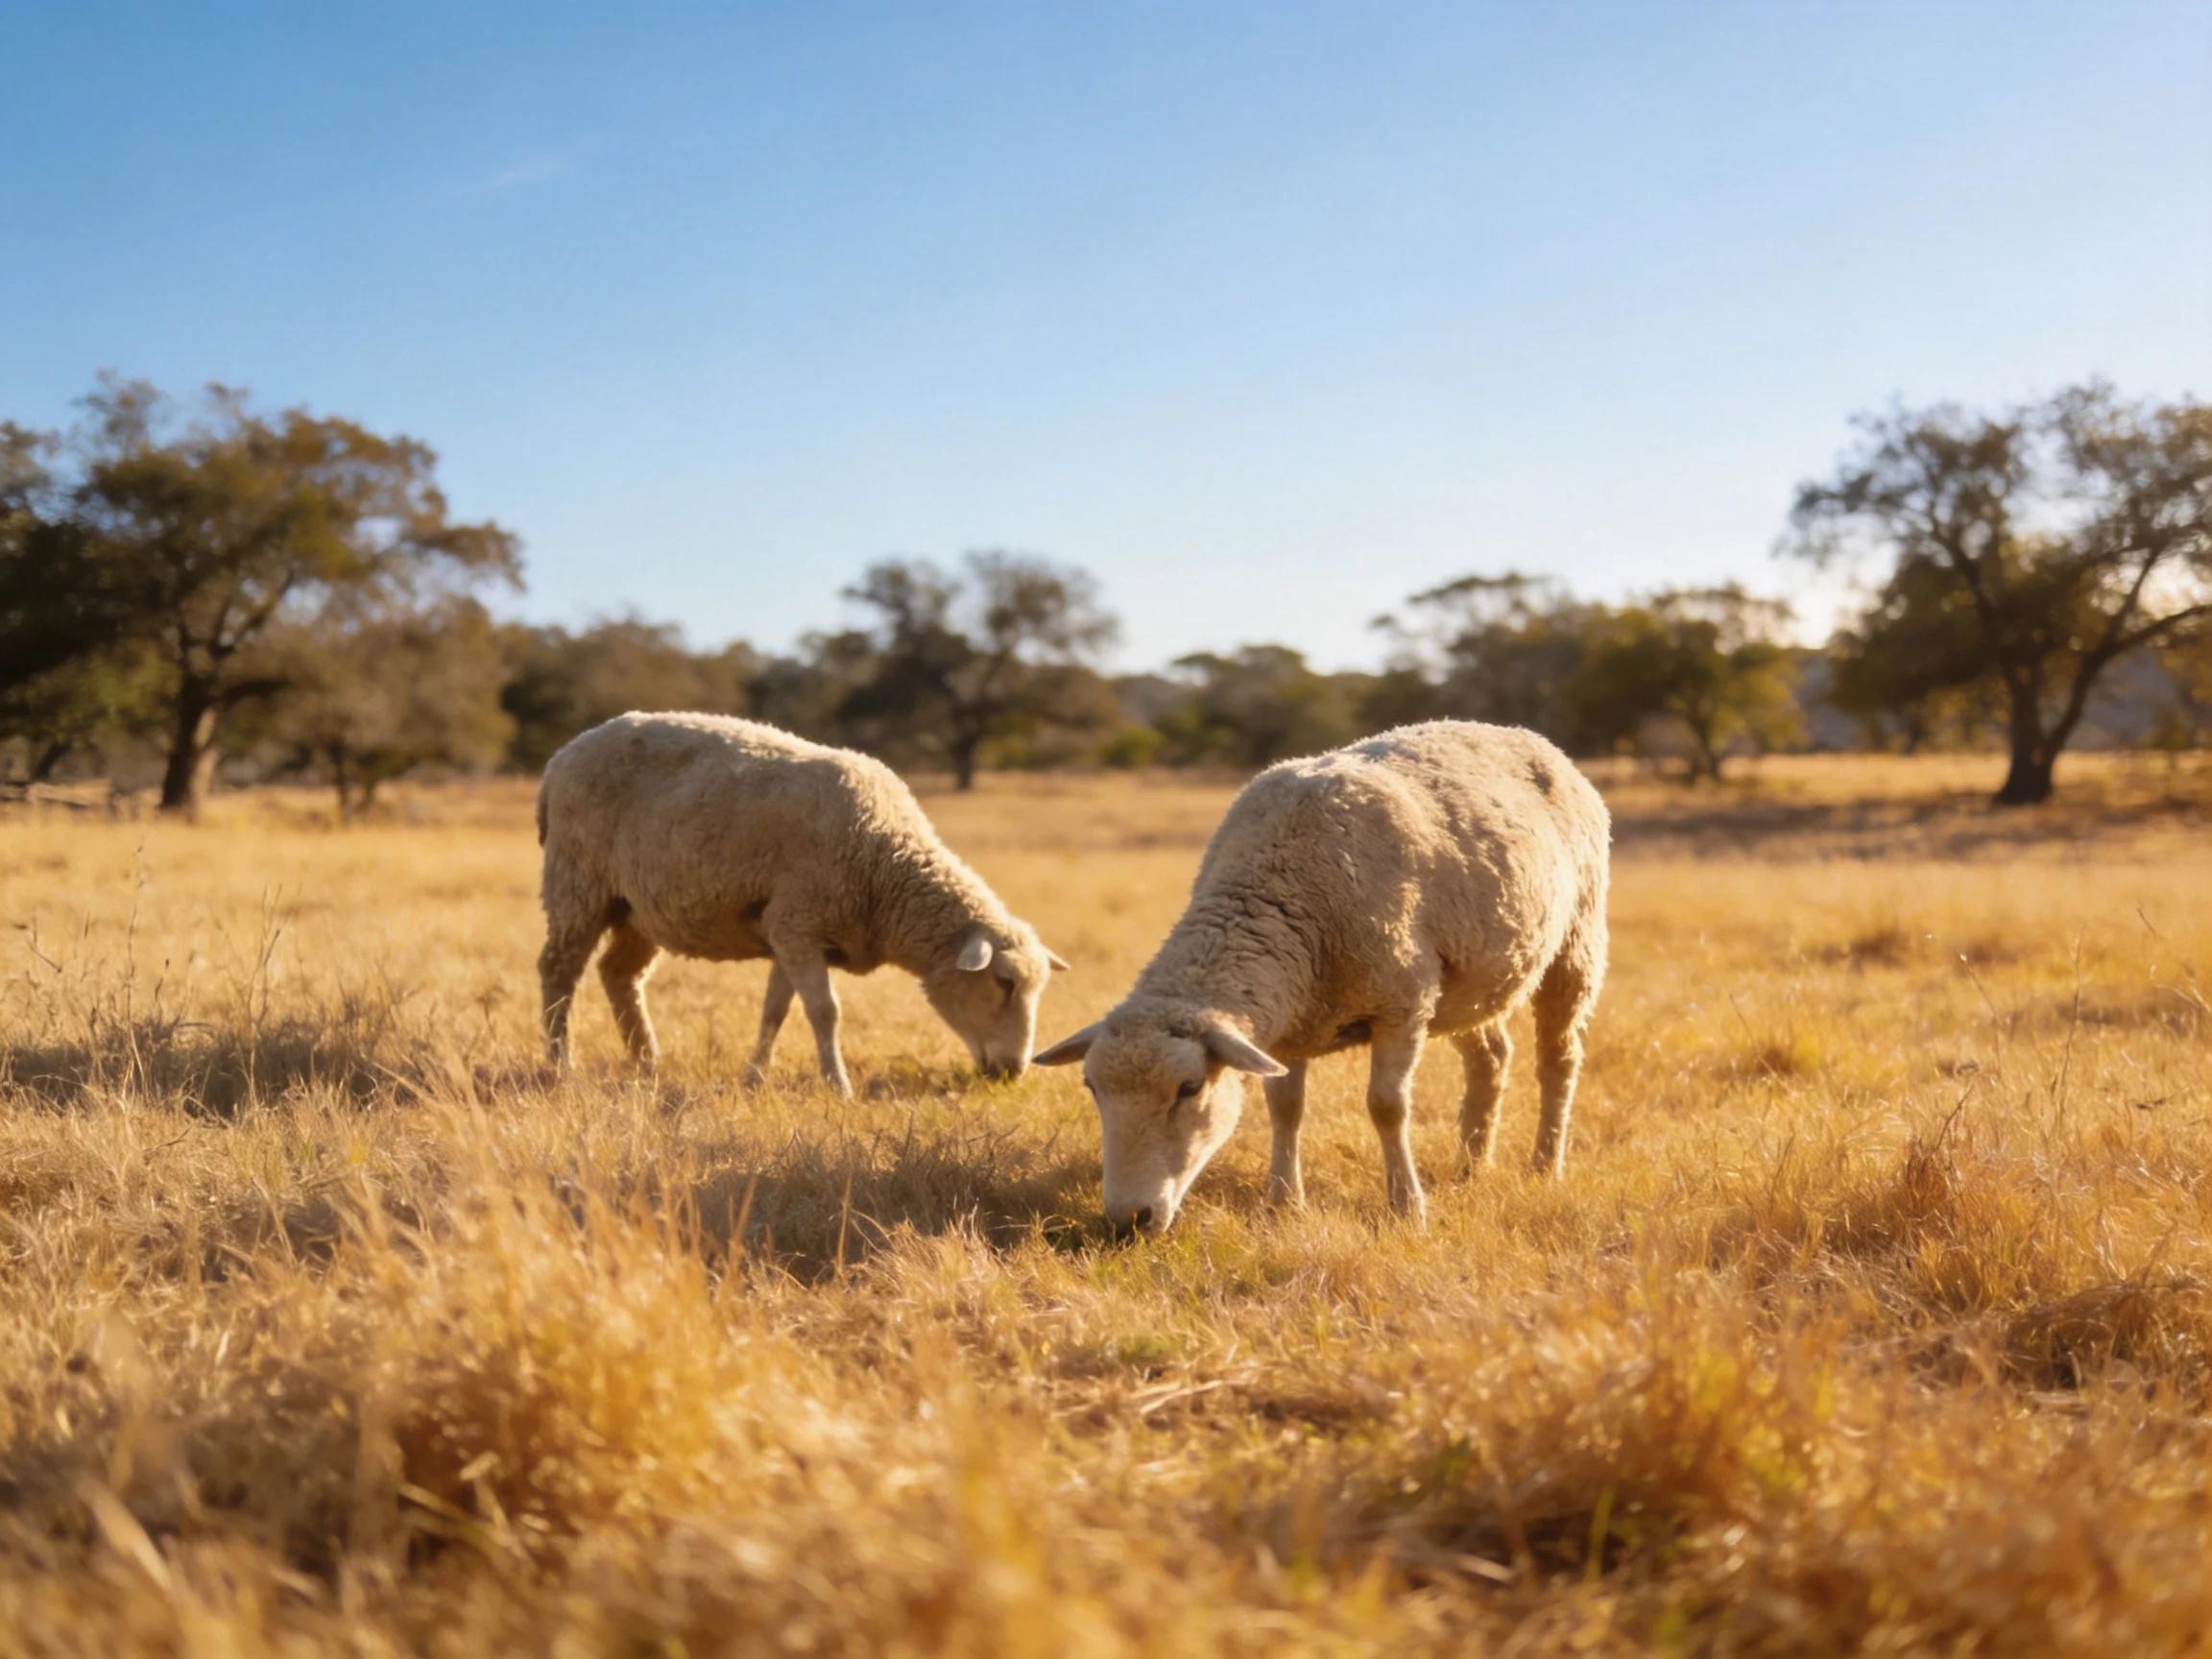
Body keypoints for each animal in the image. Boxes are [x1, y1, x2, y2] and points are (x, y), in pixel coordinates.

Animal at [536, 712, 1067, 1094]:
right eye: (1003, 984)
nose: (1013, 1072)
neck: (885, 865)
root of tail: (560, 757)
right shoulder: (800, 923)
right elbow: (825, 1012)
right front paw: (839, 1086)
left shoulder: (790, 930)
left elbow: (776, 1010)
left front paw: (754, 1079)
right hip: (577, 882)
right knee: (558, 971)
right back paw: (561, 1065)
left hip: (637, 908)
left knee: (618, 975)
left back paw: (647, 1063)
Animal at [1035, 720, 1608, 1235]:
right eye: (1091, 1087)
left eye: (1190, 1087)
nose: (1127, 1221)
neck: (1276, 888)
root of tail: (1529, 736)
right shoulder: (1290, 1025)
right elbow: (1285, 1108)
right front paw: (1284, 1202)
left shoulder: (1403, 1005)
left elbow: (1387, 1107)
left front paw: (1407, 1209)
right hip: (1469, 981)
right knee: (1491, 1057)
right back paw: (1471, 1166)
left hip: (1576, 942)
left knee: (1558, 1060)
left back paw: (1544, 1166)